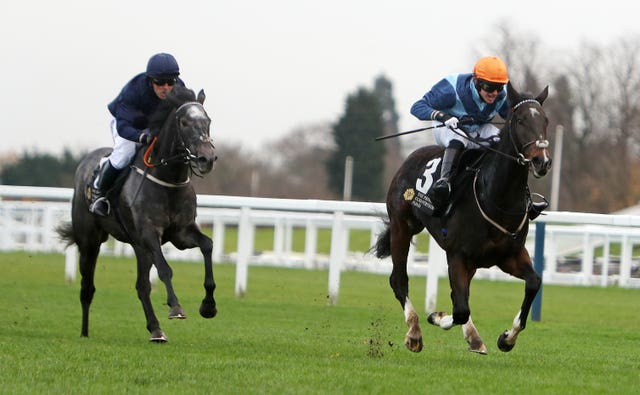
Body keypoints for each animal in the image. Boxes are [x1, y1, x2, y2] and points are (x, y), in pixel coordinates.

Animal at [60, 86, 220, 344]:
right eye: (184, 122)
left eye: (208, 121)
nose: (207, 159)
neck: (168, 178)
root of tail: (85, 162)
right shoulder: (148, 233)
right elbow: (165, 269)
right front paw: (176, 307)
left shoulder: (181, 233)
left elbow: (207, 246)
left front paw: (208, 306)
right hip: (90, 240)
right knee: (87, 287)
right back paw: (84, 332)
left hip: (137, 246)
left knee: (142, 286)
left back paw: (156, 330)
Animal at [376, 83, 552, 356]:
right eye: (521, 120)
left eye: (545, 120)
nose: (541, 161)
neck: (496, 197)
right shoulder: (457, 255)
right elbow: (460, 309)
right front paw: (435, 317)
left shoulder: (509, 255)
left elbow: (533, 282)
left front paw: (507, 338)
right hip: (401, 227)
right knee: (399, 280)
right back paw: (414, 331)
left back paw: (474, 337)